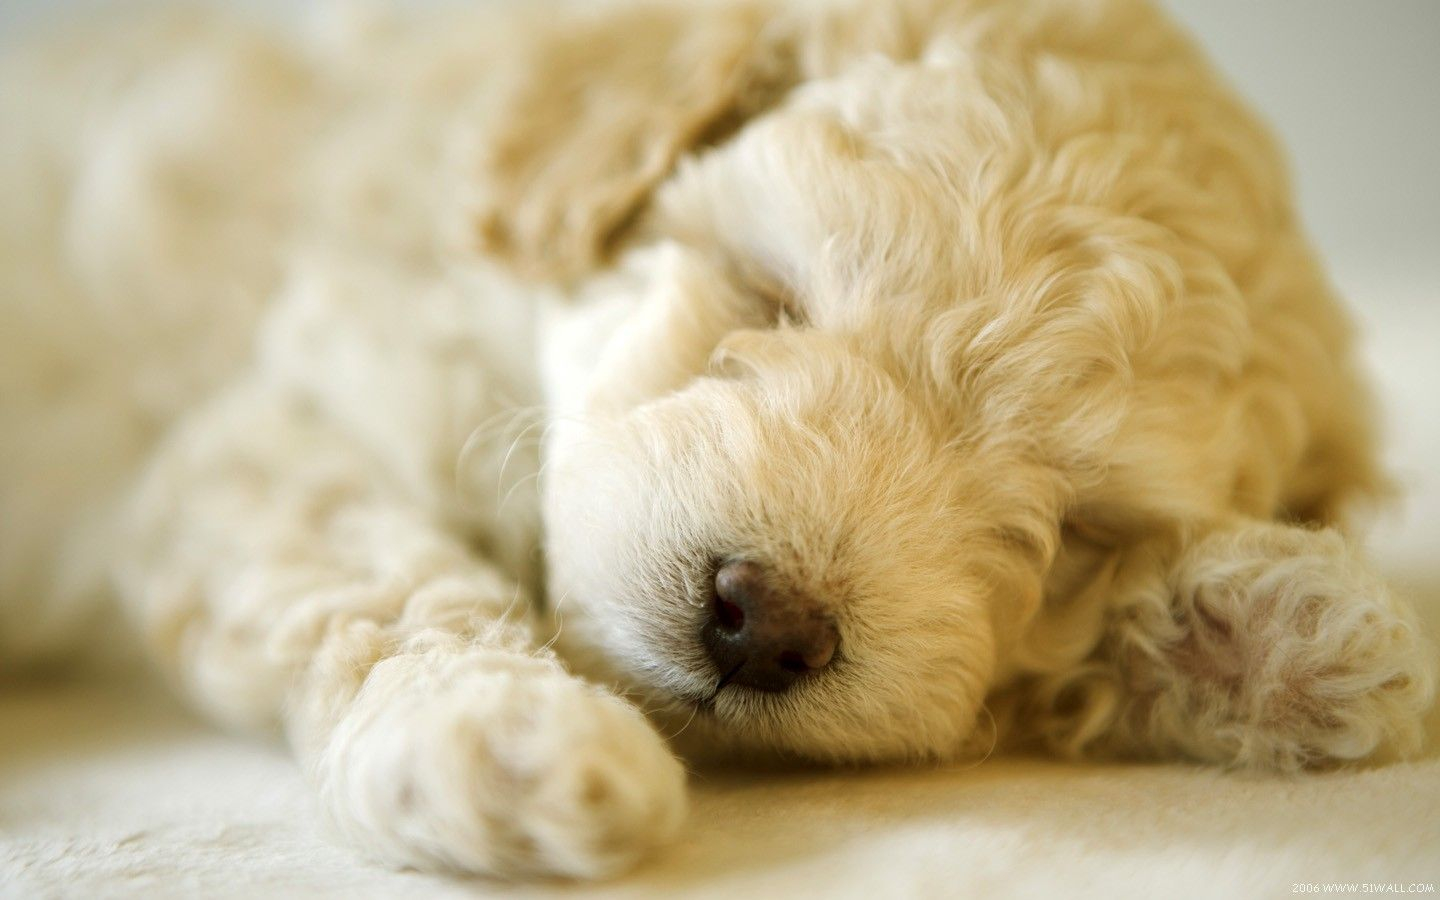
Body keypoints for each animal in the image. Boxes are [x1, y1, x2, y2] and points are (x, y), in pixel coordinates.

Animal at [1, 0, 1434, 880]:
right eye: (767, 293)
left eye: (1080, 524)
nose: (768, 621)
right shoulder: (282, 429)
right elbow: (378, 584)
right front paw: (500, 734)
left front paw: (1280, 630)